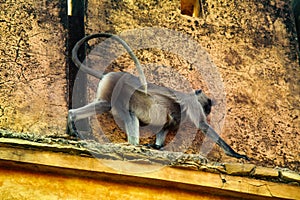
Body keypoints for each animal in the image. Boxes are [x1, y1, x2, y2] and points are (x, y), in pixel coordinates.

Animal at [67, 33, 248, 160]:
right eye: (206, 106)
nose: (209, 111)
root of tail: (110, 75)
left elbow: (166, 126)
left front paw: (157, 146)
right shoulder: (193, 104)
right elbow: (203, 125)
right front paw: (236, 154)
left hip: (109, 91)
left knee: (103, 104)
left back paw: (72, 118)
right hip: (123, 92)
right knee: (129, 113)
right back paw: (134, 145)